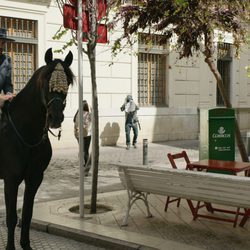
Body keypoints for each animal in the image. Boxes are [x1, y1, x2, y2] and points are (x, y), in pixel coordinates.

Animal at [0, 47, 73, 249]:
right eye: (47, 81)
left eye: (68, 82)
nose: (55, 117)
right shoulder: (11, 179)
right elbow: (11, 217)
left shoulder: (35, 177)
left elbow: (27, 214)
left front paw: (26, 244)